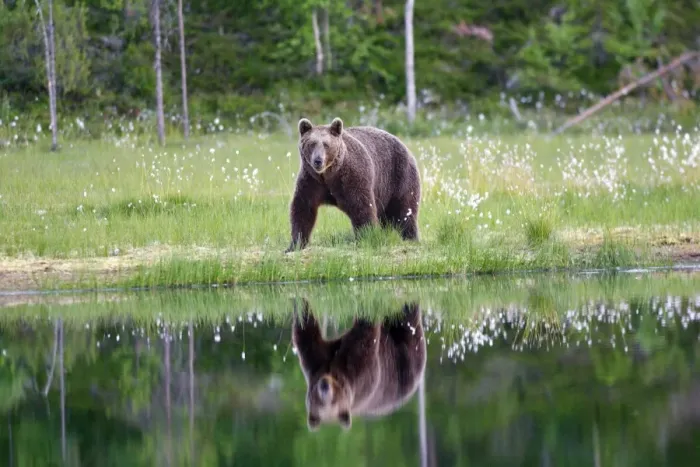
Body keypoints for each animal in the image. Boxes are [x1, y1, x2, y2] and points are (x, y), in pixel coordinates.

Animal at [285, 117, 421, 252]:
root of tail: (404, 146)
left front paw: (367, 237)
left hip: (400, 176)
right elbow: (303, 208)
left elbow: (361, 207)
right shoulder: (312, 181)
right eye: (312, 144)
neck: (329, 175)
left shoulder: (352, 178)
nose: (318, 160)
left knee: (404, 210)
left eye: (326, 144)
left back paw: (410, 238)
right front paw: (295, 244)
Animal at [291, 297, 426, 431]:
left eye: (333, 400)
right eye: (318, 400)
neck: (334, 369)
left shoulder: (320, 361)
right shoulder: (355, 370)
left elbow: (306, 332)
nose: (324, 385)